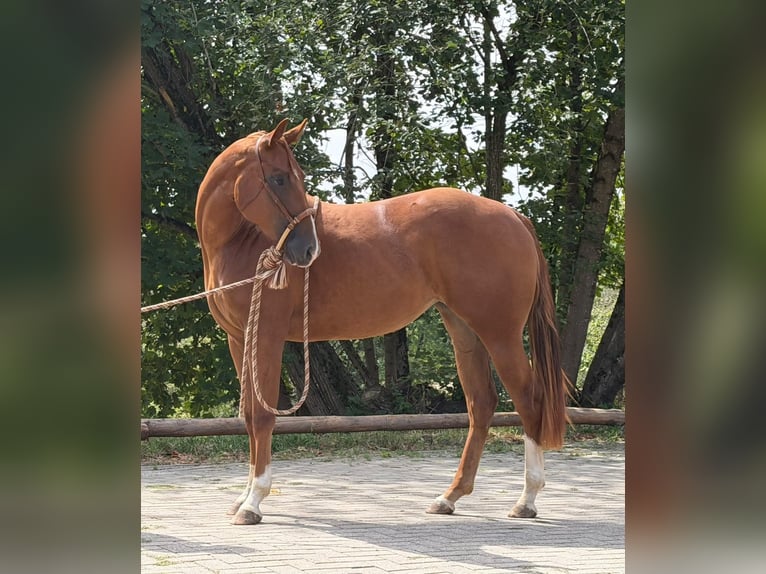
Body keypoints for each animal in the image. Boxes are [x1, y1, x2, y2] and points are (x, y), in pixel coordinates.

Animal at [195, 119, 570, 525]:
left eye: (295, 176)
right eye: (278, 178)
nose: (309, 249)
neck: (240, 241)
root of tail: (512, 216)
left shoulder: (266, 335)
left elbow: (263, 416)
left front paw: (253, 502)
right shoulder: (240, 338)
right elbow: (249, 415)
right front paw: (243, 497)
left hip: (500, 334)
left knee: (529, 399)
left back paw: (526, 500)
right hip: (464, 330)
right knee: (481, 403)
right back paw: (449, 497)